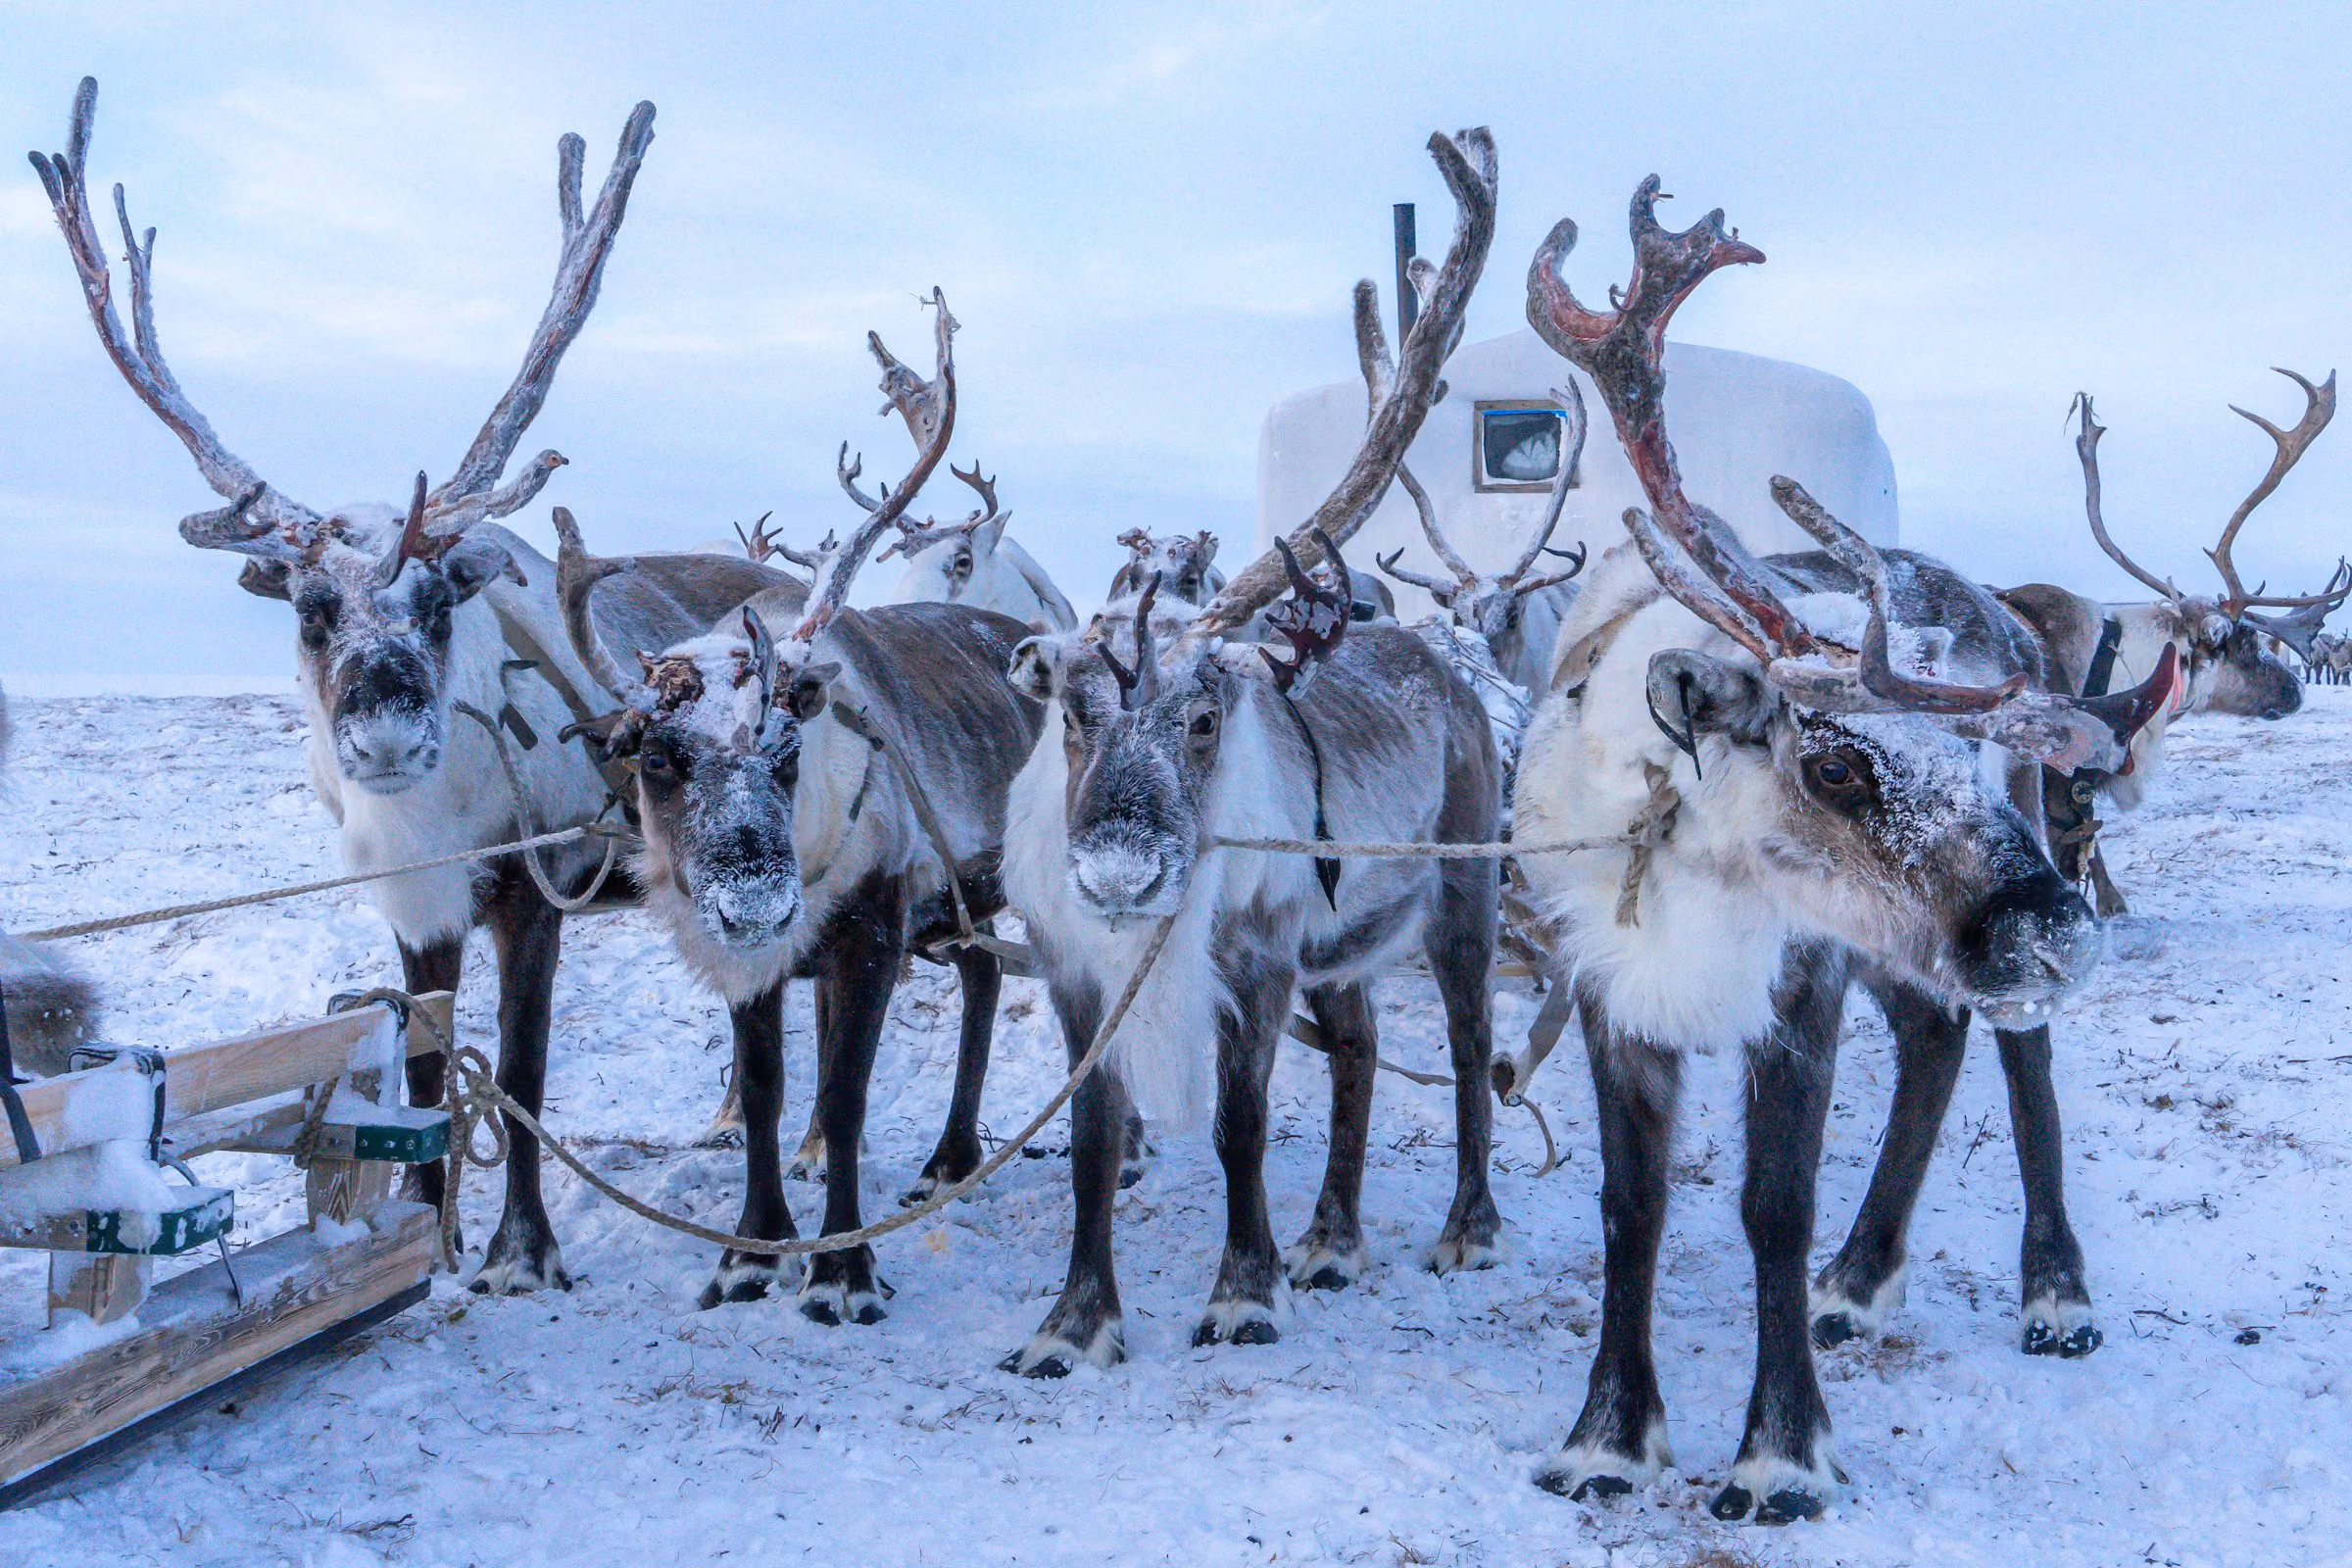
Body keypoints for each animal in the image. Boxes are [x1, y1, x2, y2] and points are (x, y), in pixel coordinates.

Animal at [23, 78, 796, 1295]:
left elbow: (520, 1075)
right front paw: (427, 1232)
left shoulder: (535, 890)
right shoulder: (414, 907)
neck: (436, 816)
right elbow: (429, 1078)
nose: (385, 737)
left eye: (439, 601)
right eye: (309, 608)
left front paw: (522, 1251)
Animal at [555, 292, 1050, 1322]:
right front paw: (753, 1250)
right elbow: (769, 1090)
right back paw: (951, 1159)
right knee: (985, 979)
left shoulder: (872, 931)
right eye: (655, 756)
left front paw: (843, 1270)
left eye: (787, 749)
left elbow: (848, 1094)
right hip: (962, 903)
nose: (755, 901)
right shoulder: (761, 962)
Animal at [993, 126, 1502, 1378]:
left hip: (1465, 893)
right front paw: (1075, 1321)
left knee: (1470, 1043)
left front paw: (1241, 1291)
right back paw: (1332, 1238)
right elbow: (1093, 1135)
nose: (1121, 874)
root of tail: (1446, 671)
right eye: (1070, 709)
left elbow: (1240, 1123)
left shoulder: (1261, 955)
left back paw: (1466, 1227)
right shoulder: (1074, 968)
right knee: (1362, 1047)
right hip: (1348, 937)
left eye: (1208, 714)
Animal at [1510, 178, 2176, 1522]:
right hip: (1908, 941)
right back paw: (1860, 1281)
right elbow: (1630, 1205)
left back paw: (2053, 1291)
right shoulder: (1607, 985)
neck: (1691, 855)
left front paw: (1779, 1453)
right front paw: (1608, 1437)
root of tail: (1996, 604)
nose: (2057, 928)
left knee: (2014, 1055)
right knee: (1936, 1032)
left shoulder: (1799, 984)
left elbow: (1774, 1205)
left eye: (1966, 753)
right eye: (1833, 765)